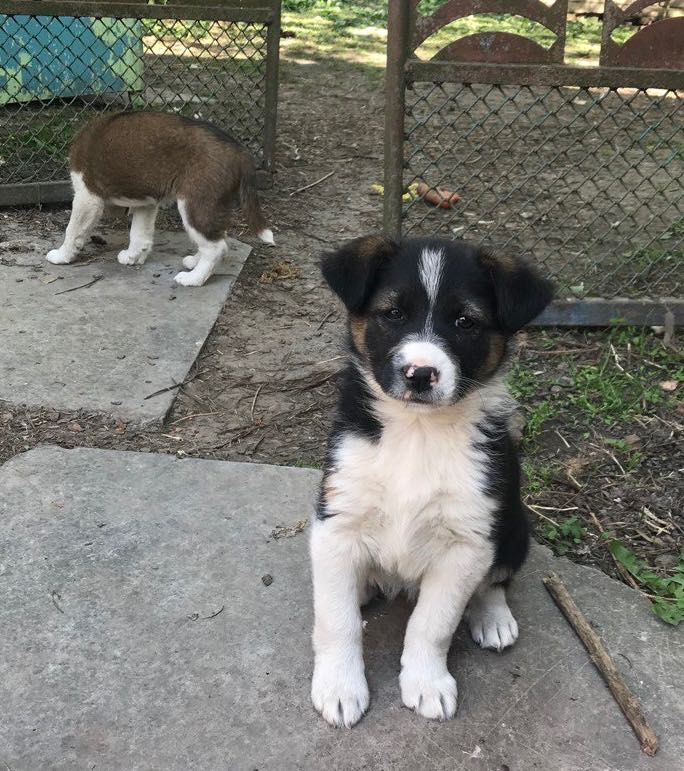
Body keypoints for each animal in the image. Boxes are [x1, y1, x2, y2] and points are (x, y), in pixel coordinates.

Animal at [44, 111, 276, 286]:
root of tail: (240, 152)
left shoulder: (87, 196)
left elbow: (72, 230)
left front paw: (62, 255)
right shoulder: (145, 203)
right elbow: (139, 234)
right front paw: (133, 256)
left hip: (195, 203)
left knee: (216, 247)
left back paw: (193, 279)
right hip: (213, 205)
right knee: (217, 237)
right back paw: (195, 262)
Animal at [310, 235, 556, 728]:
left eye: (465, 322)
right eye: (392, 314)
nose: (421, 374)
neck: (417, 430)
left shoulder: (467, 543)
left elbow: (433, 623)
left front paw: (426, 683)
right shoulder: (336, 522)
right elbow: (336, 619)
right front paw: (340, 687)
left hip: (514, 527)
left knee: (496, 580)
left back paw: (492, 618)